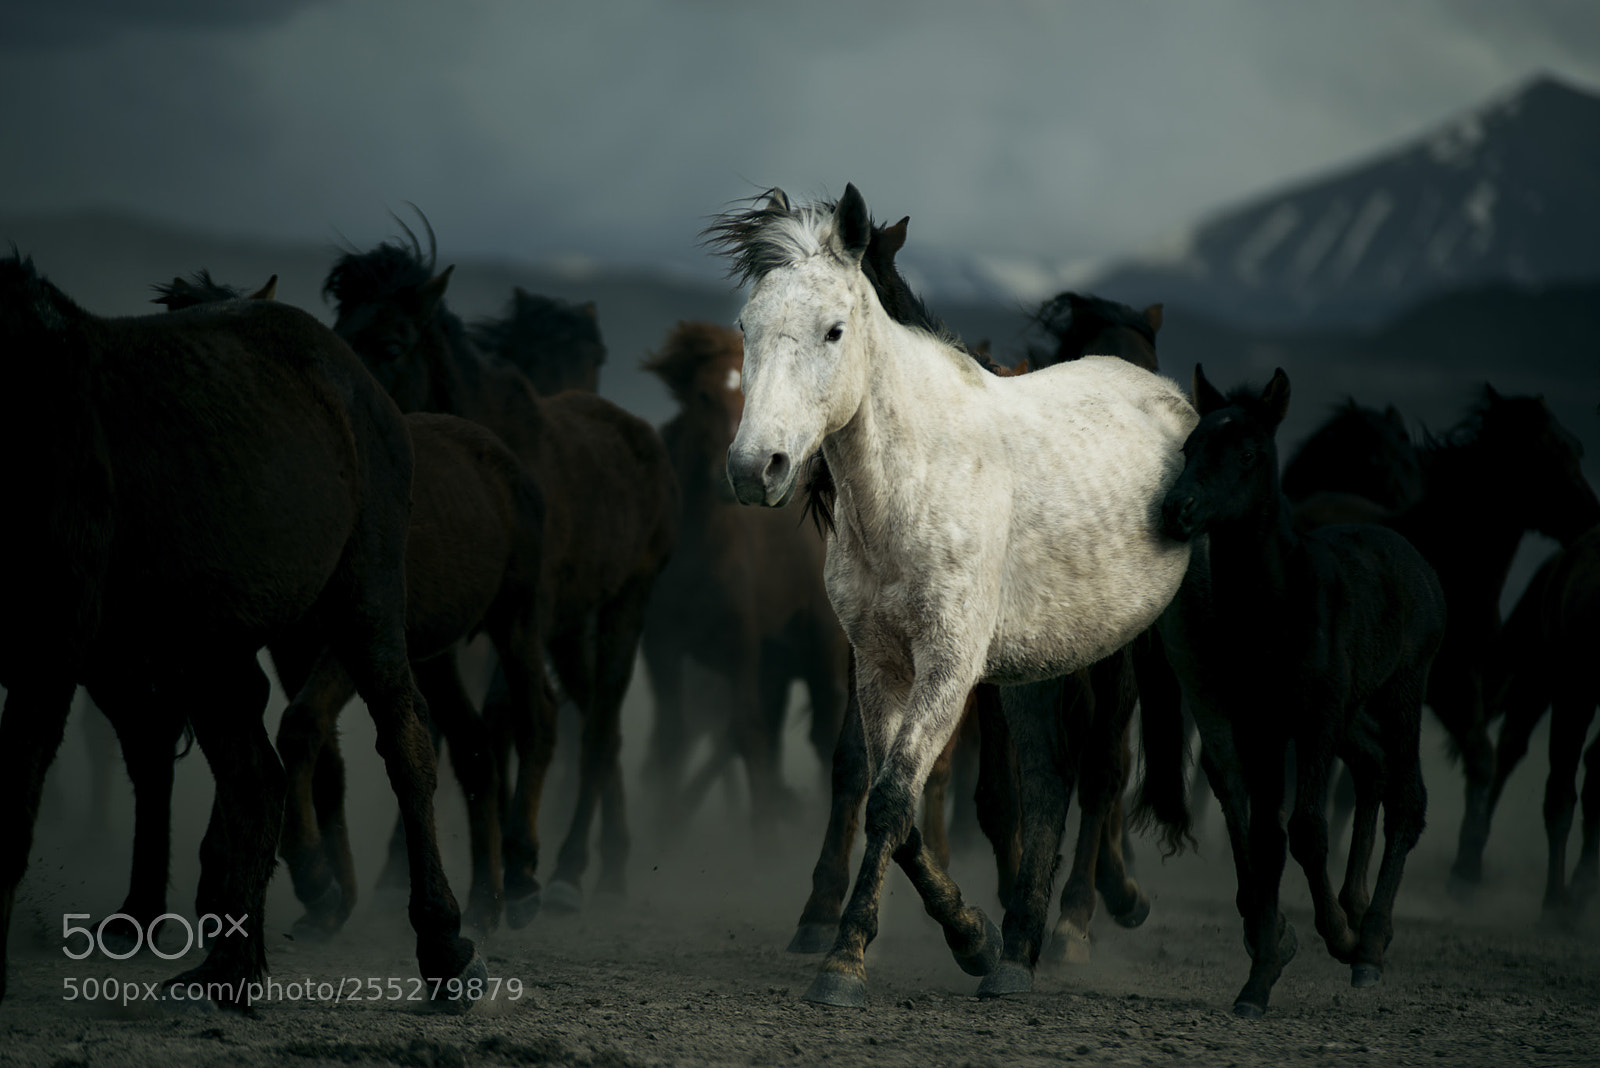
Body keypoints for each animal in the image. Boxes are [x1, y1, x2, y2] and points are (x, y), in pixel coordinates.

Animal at [0, 253, 479, 1010]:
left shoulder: (56, 647)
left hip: (360, 600)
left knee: (401, 739)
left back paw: (441, 947)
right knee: (244, 768)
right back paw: (220, 951)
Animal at [638, 320, 847, 828]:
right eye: (700, 395)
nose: (738, 477)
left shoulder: (740, 647)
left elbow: (746, 731)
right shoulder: (662, 648)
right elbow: (670, 740)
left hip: (820, 646)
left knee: (822, 733)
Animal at [706, 184, 1195, 1008]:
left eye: (835, 329)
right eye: (747, 326)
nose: (754, 467)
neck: (915, 478)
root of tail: (1169, 397)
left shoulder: (950, 665)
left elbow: (894, 799)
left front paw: (845, 961)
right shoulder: (878, 664)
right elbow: (888, 798)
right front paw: (971, 937)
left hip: (1131, 650)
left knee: (1101, 770)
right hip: (1040, 662)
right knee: (1049, 777)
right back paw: (1017, 953)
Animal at [1159, 364, 1446, 1018]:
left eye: (1247, 453)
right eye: (1189, 447)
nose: (1177, 508)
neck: (1279, 603)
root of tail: (1413, 556)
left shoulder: (1314, 719)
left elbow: (1308, 830)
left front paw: (1337, 936)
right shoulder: (1259, 722)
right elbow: (1267, 835)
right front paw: (1259, 979)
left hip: (1401, 688)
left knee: (1408, 797)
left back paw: (1369, 942)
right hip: (1353, 709)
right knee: (1374, 766)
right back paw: (1359, 911)